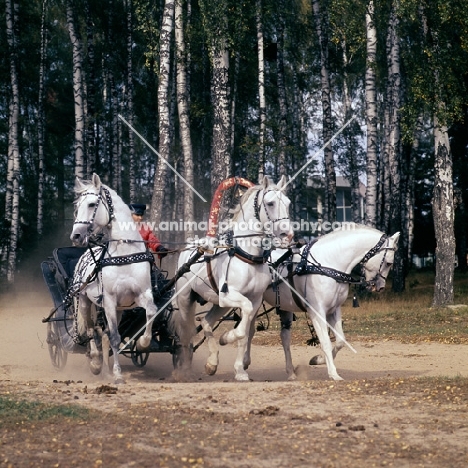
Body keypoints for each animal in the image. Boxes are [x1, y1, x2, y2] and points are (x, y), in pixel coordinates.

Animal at [69, 174, 156, 382]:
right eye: (77, 207)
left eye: (92, 204)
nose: (76, 236)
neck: (124, 254)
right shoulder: (108, 300)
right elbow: (115, 337)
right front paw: (117, 374)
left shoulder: (143, 294)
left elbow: (151, 312)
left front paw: (142, 343)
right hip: (84, 302)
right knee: (92, 330)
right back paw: (95, 362)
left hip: (119, 309)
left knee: (103, 333)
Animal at [172, 176, 292, 380]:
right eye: (270, 203)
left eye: (289, 203)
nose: (288, 235)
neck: (247, 256)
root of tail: (188, 249)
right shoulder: (230, 295)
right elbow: (243, 325)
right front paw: (227, 338)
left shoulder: (254, 299)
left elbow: (246, 331)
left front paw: (240, 369)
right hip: (185, 299)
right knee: (186, 331)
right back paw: (185, 368)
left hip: (219, 304)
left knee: (206, 322)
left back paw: (212, 363)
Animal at [260, 225, 398, 382]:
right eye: (388, 263)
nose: (380, 287)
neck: (328, 263)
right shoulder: (317, 311)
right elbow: (325, 341)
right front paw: (333, 373)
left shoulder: (334, 309)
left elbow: (340, 341)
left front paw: (319, 360)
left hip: (285, 308)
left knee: (284, 337)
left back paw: (290, 373)